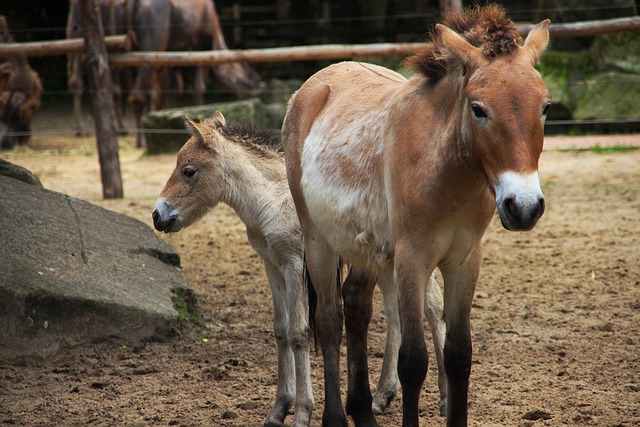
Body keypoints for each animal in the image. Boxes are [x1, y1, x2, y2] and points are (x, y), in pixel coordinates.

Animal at [152, 112, 448, 426]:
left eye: (188, 171)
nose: (157, 215)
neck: (272, 201)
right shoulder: (272, 266)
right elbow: (281, 332)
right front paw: (278, 410)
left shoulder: (294, 265)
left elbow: (299, 332)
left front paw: (303, 411)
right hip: (382, 263)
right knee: (394, 313)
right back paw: (382, 397)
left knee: (433, 305)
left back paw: (443, 397)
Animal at [284, 5, 552, 427]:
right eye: (478, 109)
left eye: (545, 107)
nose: (523, 206)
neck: (442, 168)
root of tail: (311, 88)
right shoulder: (413, 259)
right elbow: (413, 360)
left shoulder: (464, 260)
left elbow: (459, 354)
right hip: (319, 243)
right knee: (329, 321)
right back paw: (336, 417)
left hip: (367, 249)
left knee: (356, 305)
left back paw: (363, 410)